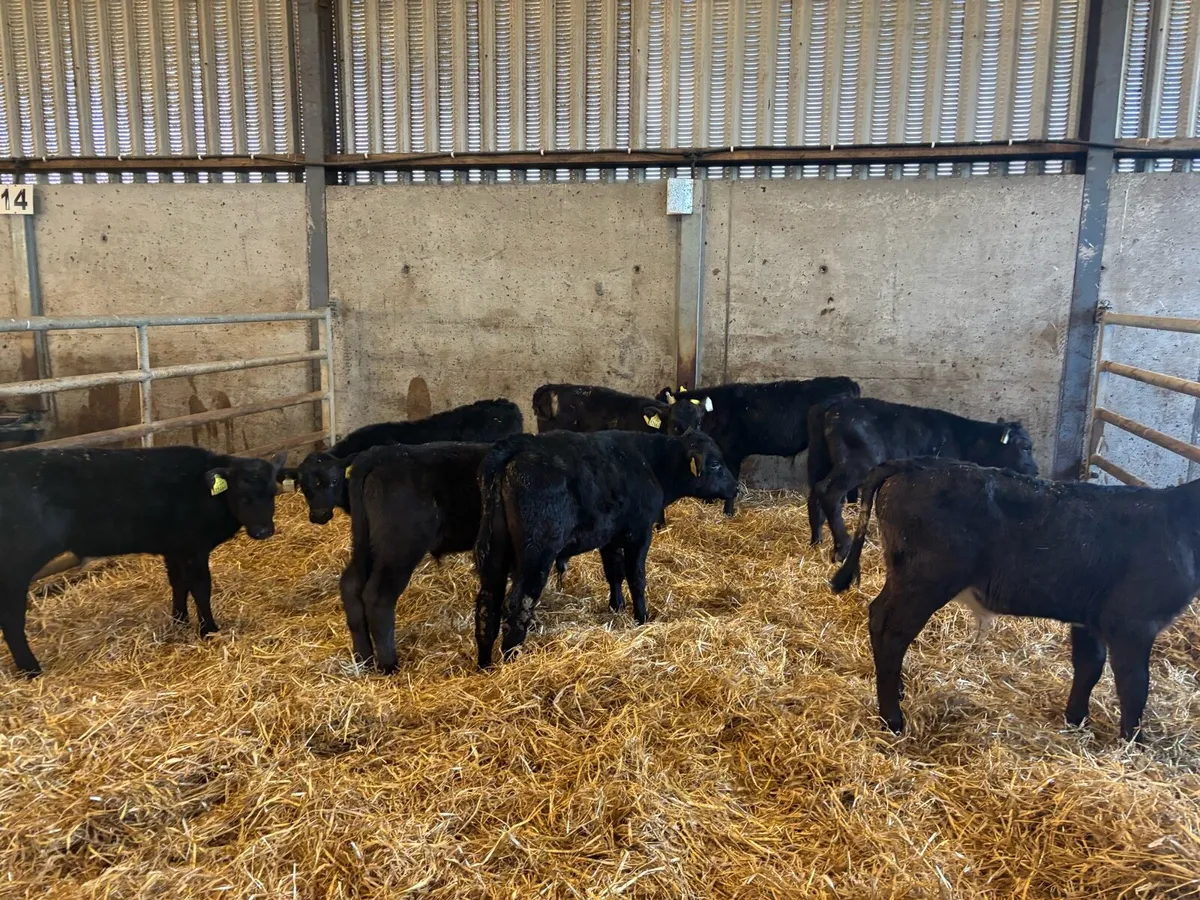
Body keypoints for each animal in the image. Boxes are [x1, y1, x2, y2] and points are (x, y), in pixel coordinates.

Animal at [0, 446, 286, 676]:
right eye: (242, 495)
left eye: (273, 492)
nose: (263, 531)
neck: (205, 494)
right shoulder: (194, 549)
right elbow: (201, 588)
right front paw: (209, 630)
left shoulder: (175, 548)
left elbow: (178, 584)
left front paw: (179, 621)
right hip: (17, 564)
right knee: (11, 616)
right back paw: (31, 669)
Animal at [473, 429, 738, 669]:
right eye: (715, 464)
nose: (735, 487)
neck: (650, 463)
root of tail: (517, 445)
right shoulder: (639, 534)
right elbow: (636, 578)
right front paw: (642, 617)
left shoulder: (609, 538)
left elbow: (614, 573)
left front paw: (616, 606)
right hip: (536, 553)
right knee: (518, 603)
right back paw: (512, 660)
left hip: (494, 551)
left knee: (488, 602)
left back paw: (485, 664)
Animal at [806, 396, 1037, 561]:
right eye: (1026, 447)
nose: (1035, 471)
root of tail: (835, 404)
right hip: (856, 464)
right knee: (828, 492)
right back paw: (842, 548)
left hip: (821, 460)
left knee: (815, 491)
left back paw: (816, 540)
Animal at [829, 457, 1200, 742]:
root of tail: (912, 464)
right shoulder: (1132, 622)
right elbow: (1134, 685)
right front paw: (1132, 744)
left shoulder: (1089, 618)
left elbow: (1088, 667)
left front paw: (1076, 721)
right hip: (925, 581)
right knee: (892, 633)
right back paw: (893, 719)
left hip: (905, 577)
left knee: (878, 616)